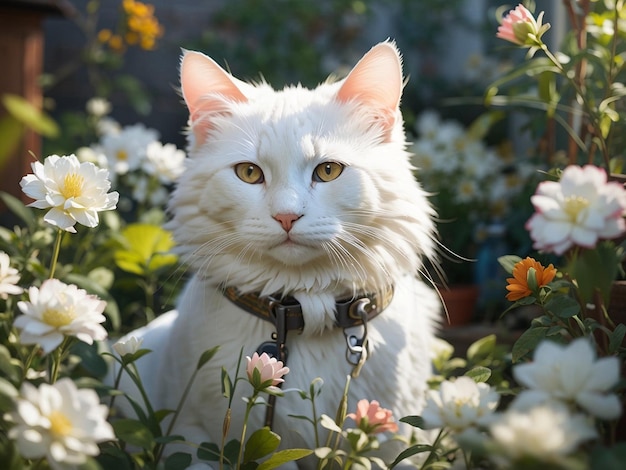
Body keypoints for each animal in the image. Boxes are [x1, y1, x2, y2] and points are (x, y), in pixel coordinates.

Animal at [114, 41, 442, 466]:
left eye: (329, 171)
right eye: (249, 173)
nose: (287, 216)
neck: (306, 309)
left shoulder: (391, 445)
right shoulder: (198, 436)